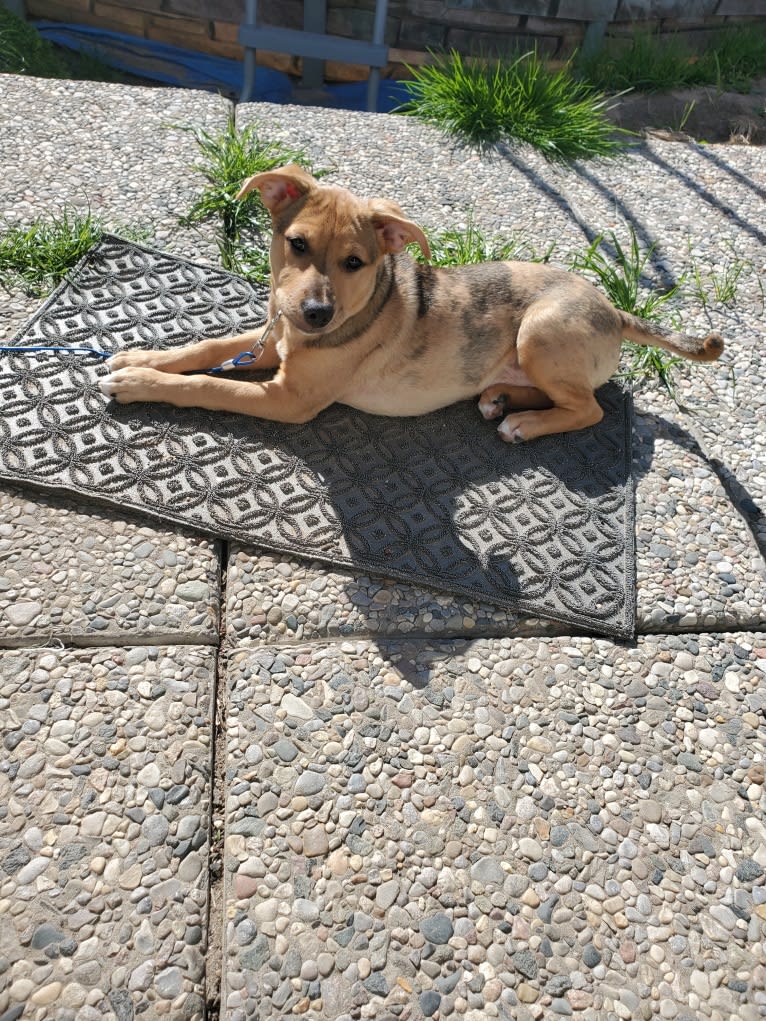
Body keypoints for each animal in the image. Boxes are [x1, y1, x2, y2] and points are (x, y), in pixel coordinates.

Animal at [102, 164, 727, 443]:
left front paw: (138, 383)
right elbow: (204, 347)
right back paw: (500, 399)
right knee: (559, 392)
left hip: (543, 331)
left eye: (356, 262)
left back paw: (523, 423)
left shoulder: (289, 397)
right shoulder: (271, 339)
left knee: (590, 408)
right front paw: (137, 359)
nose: (316, 315)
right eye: (296, 244)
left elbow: (209, 387)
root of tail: (613, 308)